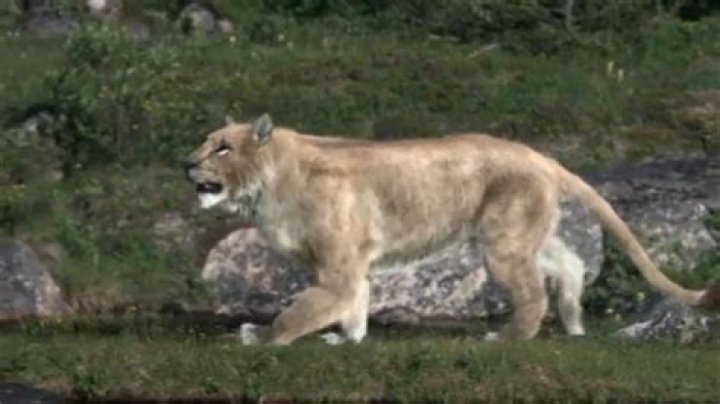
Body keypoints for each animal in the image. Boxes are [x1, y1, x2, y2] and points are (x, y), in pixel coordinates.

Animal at [184, 114, 719, 345]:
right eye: (206, 142)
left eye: (223, 147)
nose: (186, 163)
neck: (268, 184)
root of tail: (540, 156)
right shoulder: (353, 263)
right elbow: (354, 302)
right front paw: (349, 341)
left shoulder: (337, 266)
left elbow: (298, 312)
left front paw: (259, 337)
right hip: (522, 235)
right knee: (570, 263)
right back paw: (574, 324)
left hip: (503, 242)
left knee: (533, 293)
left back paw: (507, 339)